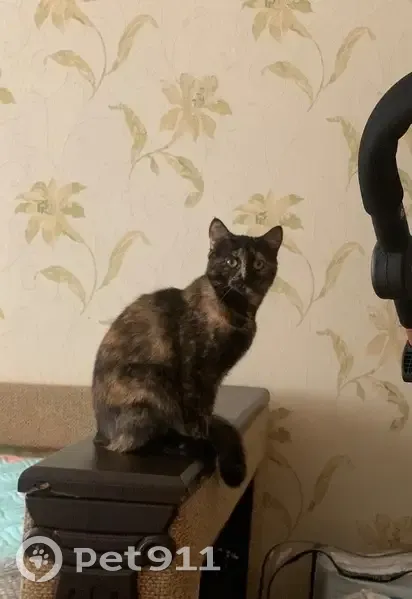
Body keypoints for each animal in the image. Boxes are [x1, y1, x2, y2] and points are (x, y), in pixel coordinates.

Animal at [92, 217, 283, 487]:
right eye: (231, 262)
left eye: (258, 263)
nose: (244, 277)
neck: (237, 312)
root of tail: (100, 432)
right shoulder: (194, 369)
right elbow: (195, 410)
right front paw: (200, 437)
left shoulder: (214, 377)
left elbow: (206, 409)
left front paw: (206, 432)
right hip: (151, 385)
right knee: (135, 445)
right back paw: (189, 446)